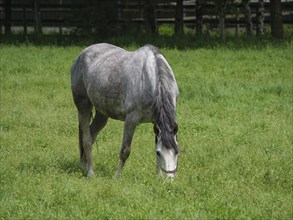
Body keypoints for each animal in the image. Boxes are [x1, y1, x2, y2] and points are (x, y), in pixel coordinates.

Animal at [71, 43, 180, 179]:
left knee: (92, 133)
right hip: (83, 106)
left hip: (102, 113)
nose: (170, 179)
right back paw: (90, 172)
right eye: (159, 153)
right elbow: (125, 150)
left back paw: (84, 165)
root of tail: (82, 54)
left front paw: (158, 177)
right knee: (87, 140)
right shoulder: (131, 120)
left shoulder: (156, 121)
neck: (152, 80)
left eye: (176, 152)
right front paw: (116, 176)